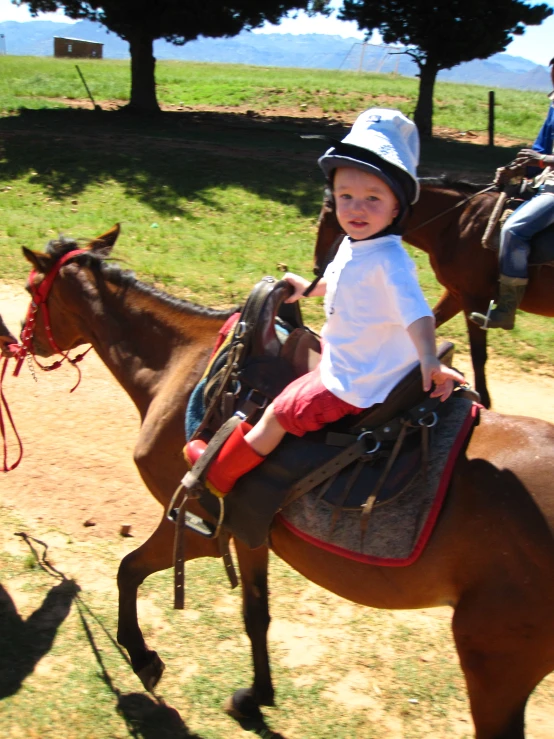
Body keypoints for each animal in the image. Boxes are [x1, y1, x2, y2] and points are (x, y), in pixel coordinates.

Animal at [19, 225, 552, 739]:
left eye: (30, 290)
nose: (21, 342)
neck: (180, 362)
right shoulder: (249, 532)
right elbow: (256, 613)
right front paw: (256, 696)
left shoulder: (198, 525)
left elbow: (128, 569)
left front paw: (142, 655)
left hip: (494, 656)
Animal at [312, 180, 548, 410]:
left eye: (327, 211)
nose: (317, 267)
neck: (456, 224)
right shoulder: (456, 295)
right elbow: (431, 323)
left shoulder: (474, 299)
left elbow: (478, 354)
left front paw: (483, 398)